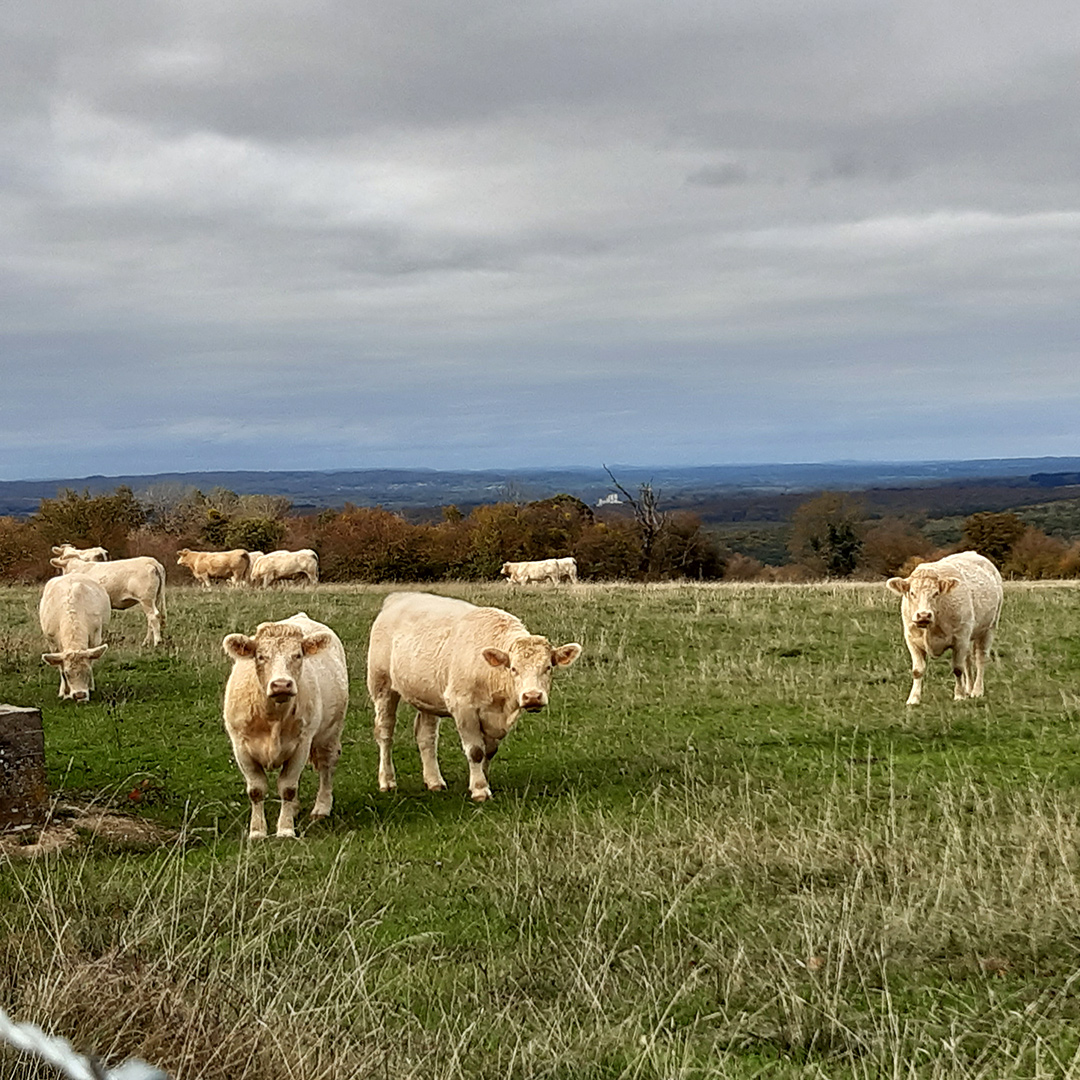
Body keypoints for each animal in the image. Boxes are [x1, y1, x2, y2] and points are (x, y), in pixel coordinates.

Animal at [221, 613, 347, 838]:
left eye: (297, 655)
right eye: (261, 656)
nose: (281, 685)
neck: (273, 717)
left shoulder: (302, 743)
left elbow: (288, 788)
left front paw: (286, 830)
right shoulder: (240, 746)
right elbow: (256, 790)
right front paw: (257, 832)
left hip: (329, 733)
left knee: (326, 766)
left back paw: (322, 808)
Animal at [367, 591, 583, 803]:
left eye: (548, 667)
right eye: (513, 668)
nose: (532, 696)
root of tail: (398, 597)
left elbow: (490, 750)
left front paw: (482, 780)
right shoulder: (463, 707)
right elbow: (476, 751)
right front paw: (479, 789)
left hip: (427, 694)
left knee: (426, 735)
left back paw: (434, 781)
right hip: (382, 686)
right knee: (385, 733)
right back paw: (387, 780)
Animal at [885, 548, 1002, 708]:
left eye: (936, 593)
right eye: (912, 593)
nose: (923, 615)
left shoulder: (960, 639)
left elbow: (957, 669)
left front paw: (959, 695)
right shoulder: (912, 640)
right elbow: (917, 671)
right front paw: (913, 699)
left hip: (989, 628)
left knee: (980, 658)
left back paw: (977, 690)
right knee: (968, 660)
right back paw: (968, 688)